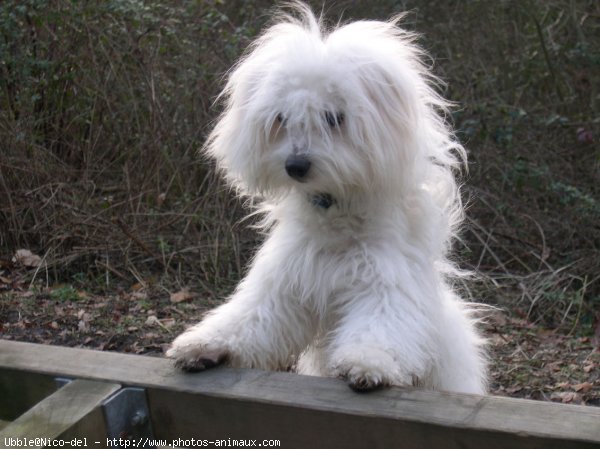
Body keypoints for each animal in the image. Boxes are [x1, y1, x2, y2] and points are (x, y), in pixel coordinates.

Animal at [166, 2, 486, 392]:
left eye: (333, 118)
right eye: (282, 118)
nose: (296, 165)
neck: (336, 215)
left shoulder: (385, 283)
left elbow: (380, 326)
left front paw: (368, 363)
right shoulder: (282, 285)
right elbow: (249, 318)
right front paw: (205, 344)